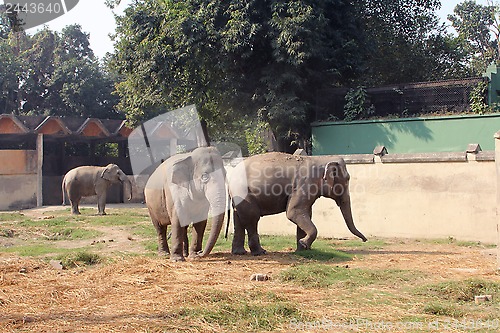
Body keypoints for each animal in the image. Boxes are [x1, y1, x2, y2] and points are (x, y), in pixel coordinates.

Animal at [229, 152, 366, 255]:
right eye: (347, 179)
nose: (365, 240)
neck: (321, 159)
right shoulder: (304, 184)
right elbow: (294, 212)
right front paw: (303, 243)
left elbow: (305, 213)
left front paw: (303, 249)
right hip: (243, 192)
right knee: (252, 218)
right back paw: (260, 252)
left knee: (239, 218)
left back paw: (239, 252)